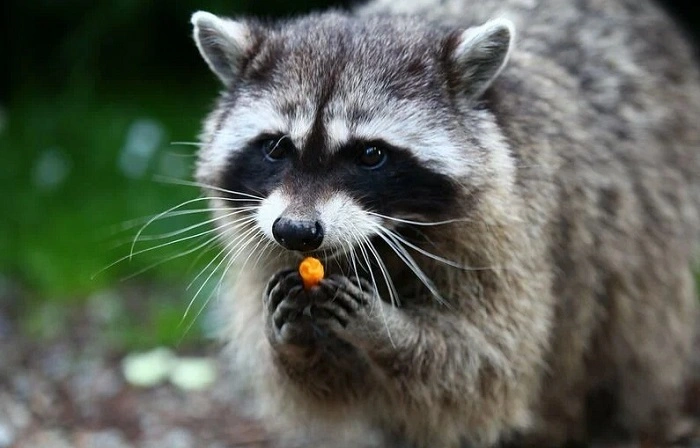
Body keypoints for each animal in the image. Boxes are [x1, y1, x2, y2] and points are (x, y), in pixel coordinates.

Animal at [189, 0, 700, 446]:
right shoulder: (261, 236)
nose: (297, 232)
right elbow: (321, 383)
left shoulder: (514, 225)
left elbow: (486, 363)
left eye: (370, 155)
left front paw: (388, 330)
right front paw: (288, 342)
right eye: (276, 147)